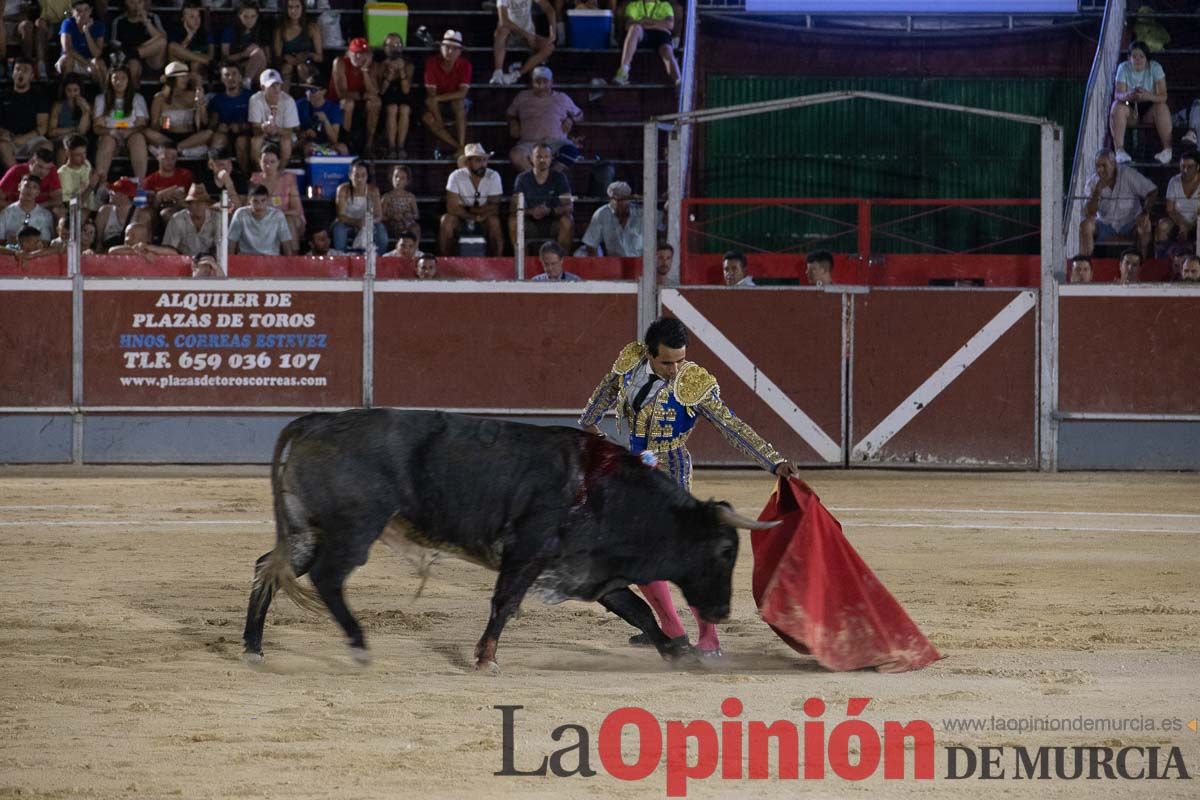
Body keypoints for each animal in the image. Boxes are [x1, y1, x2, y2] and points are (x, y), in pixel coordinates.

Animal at [243, 412, 772, 671]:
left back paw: (252, 647)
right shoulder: (526, 554)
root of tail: (313, 422)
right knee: (328, 577)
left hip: (307, 528)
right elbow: (504, 603)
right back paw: (357, 644)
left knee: (269, 566)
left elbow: (638, 609)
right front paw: (486, 658)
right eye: (726, 551)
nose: (723, 612)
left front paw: (677, 653)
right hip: (354, 529)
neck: (607, 492)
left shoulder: (594, 572)